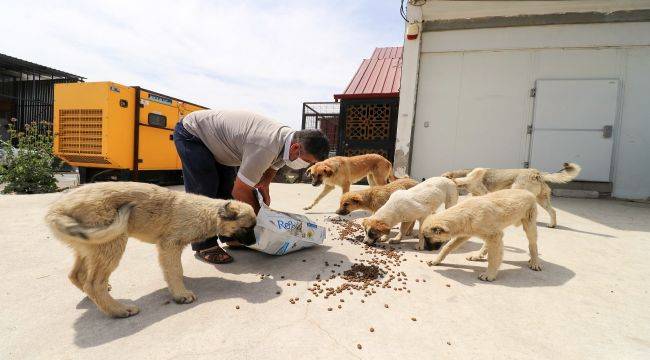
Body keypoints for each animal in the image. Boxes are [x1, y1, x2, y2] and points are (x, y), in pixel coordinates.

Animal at [43, 183, 253, 318]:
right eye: (247, 228)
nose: (253, 241)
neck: (207, 213)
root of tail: (56, 210)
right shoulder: (170, 245)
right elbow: (175, 270)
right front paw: (180, 294)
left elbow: (174, 270)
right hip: (113, 242)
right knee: (94, 284)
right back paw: (119, 310)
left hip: (90, 246)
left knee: (76, 275)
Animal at [442, 162, 580, 226]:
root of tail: (537, 173)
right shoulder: (477, 194)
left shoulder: (482, 190)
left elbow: (461, 180)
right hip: (542, 200)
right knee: (553, 211)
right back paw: (552, 225)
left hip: (519, 192)